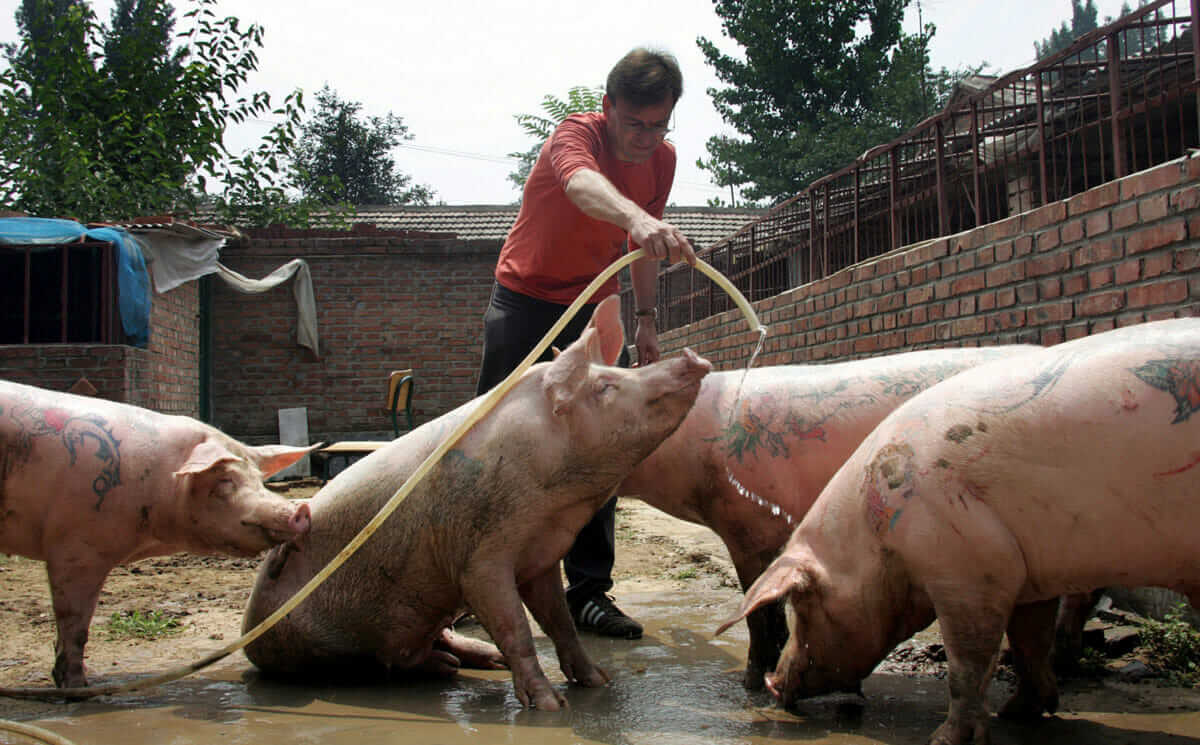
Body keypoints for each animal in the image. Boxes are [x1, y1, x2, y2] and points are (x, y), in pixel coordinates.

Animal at [0, 381, 316, 686]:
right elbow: (75, 622)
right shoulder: (75, 548)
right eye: (225, 480)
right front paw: (79, 687)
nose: (300, 508)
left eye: (260, 480)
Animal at [243, 295, 710, 710]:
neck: (554, 503)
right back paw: (457, 664)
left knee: (424, 648)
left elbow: (559, 622)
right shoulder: (476, 560)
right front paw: (550, 706)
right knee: (391, 662)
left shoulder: (539, 558)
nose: (693, 358)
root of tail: (249, 633)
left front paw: (598, 681)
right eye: (605, 386)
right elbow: (515, 625)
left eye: (617, 368)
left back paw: (476, 661)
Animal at [715, 319, 1200, 743]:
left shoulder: (972, 567)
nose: (774, 683)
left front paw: (944, 739)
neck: (875, 539)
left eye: (803, 605)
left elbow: (967, 661)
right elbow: (1028, 641)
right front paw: (1017, 713)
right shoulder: (1029, 575)